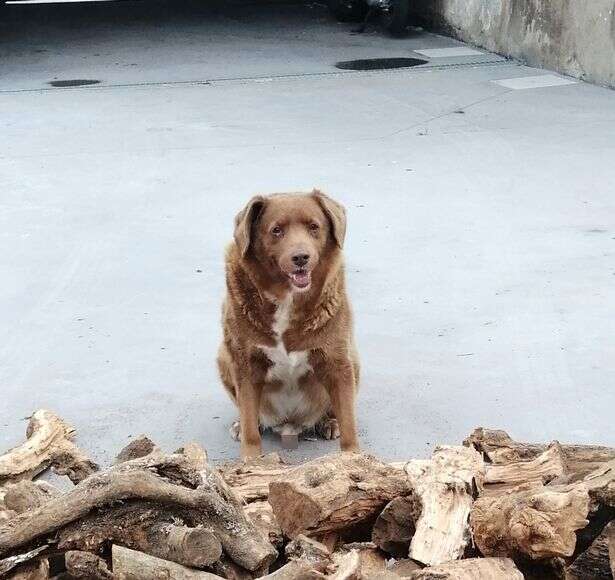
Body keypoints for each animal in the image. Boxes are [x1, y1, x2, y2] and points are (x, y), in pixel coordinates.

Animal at [218, 190, 358, 458]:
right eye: (276, 230)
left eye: (314, 227)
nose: (301, 257)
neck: (287, 299)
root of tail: (289, 424)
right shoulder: (245, 364)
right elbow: (250, 427)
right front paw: (251, 460)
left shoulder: (337, 361)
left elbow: (349, 425)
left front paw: (354, 459)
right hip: (223, 357)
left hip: (354, 361)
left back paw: (329, 422)